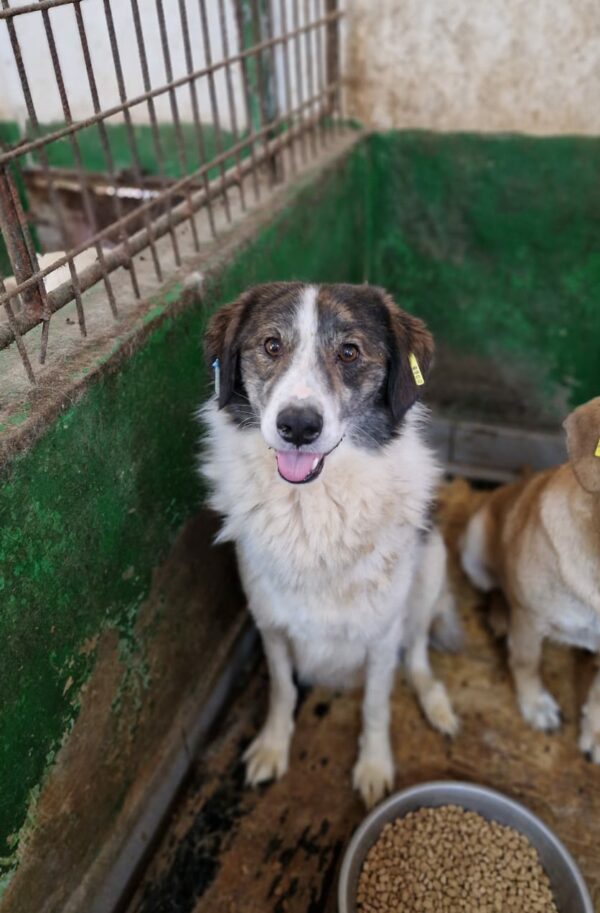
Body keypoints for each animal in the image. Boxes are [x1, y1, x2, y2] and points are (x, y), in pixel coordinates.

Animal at [199, 282, 458, 800]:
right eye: (271, 346)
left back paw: (436, 702)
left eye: (349, 352)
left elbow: (376, 705)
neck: (312, 510)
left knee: (418, 652)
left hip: (430, 567)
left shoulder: (382, 635)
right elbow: (282, 690)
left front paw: (374, 766)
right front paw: (272, 747)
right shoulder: (271, 625)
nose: (298, 426)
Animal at [460, 396, 600, 760]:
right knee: (496, 588)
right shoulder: (529, 618)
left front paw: (595, 734)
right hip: (475, 547)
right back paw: (499, 617)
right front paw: (536, 706)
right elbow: (526, 662)